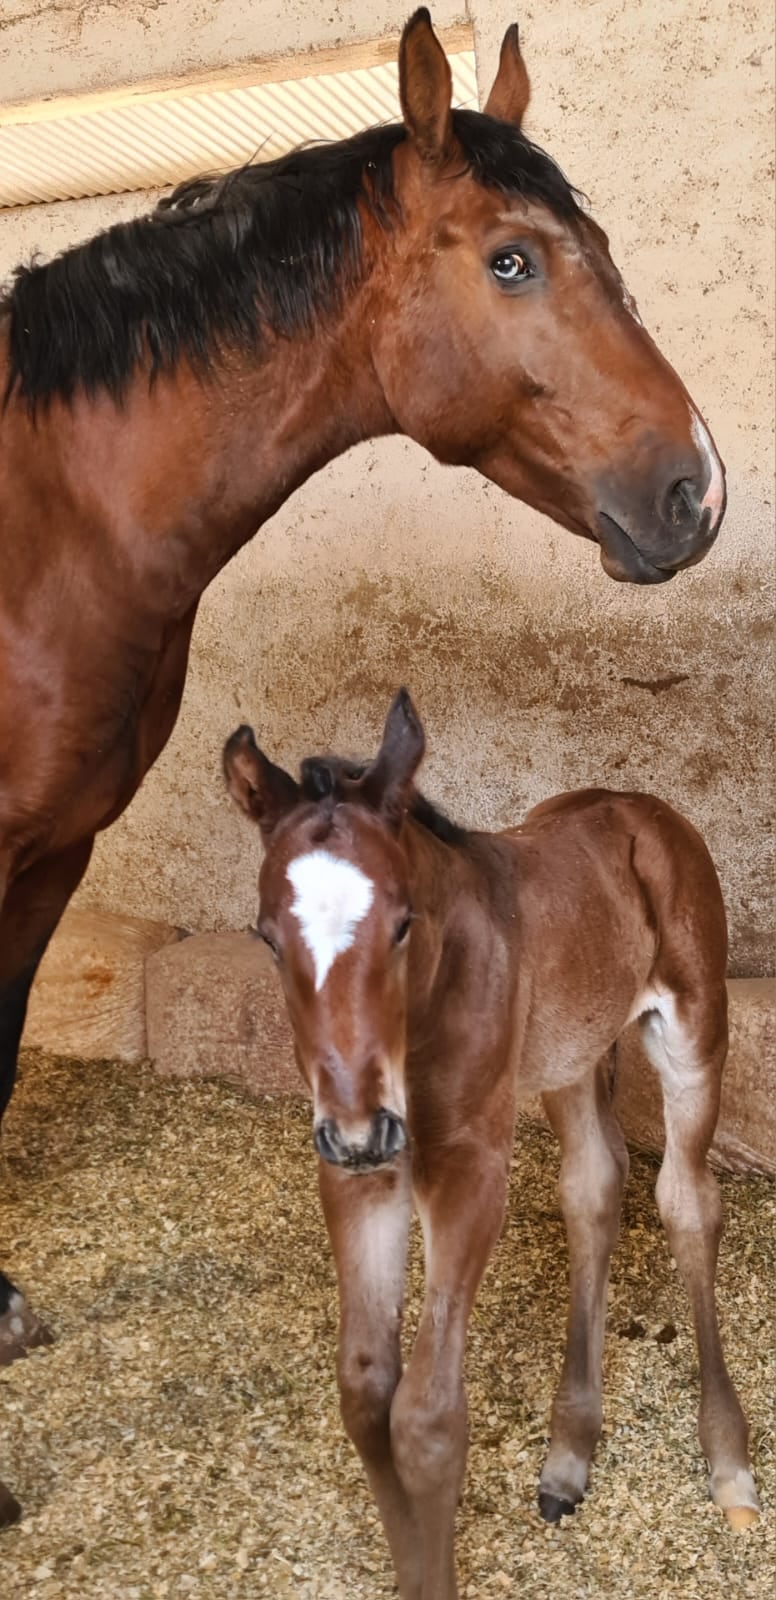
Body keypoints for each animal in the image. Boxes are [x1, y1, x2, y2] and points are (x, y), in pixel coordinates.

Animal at [222, 688, 755, 1600]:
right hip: (568, 1061)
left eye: (402, 924)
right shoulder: (359, 1173)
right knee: (594, 1189)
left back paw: (729, 1463)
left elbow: (428, 1416)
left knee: (687, 1201)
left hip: (693, 1027)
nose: (360, 1128)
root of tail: (640, 806)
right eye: (266, 936)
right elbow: (366, 1393)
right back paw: (569, 1457)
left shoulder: (467, 1165)